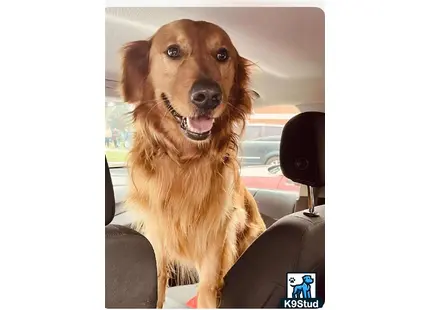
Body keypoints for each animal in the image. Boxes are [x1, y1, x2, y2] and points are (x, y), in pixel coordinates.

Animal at [120, 19, 266, 308]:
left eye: (222, 55)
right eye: (173, 51)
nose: (208, 96)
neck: (184, 161)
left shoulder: (214, 247)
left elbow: (207, 292)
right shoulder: (157, 242)